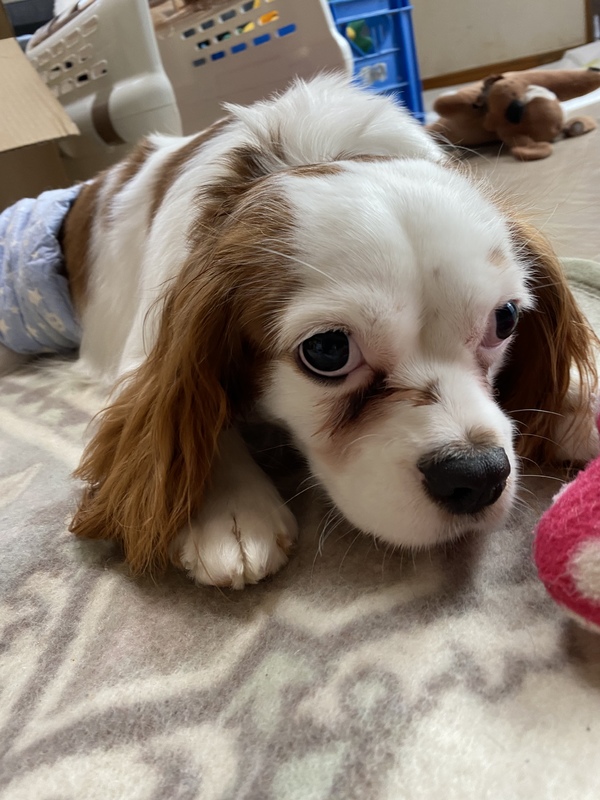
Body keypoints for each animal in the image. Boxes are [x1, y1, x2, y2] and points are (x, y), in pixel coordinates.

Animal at [1, 76, 598, 588]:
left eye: (506, 319)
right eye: (328, 351)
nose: (476, 476)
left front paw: (579, 402)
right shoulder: (147, 355)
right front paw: (227, 506)